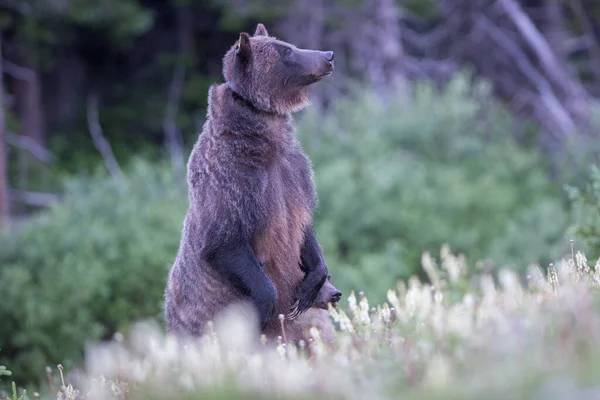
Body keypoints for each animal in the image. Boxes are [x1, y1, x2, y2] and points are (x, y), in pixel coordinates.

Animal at [164, 23, 342, 346]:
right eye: (286, 51)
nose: (328, 55)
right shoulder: (234, 184)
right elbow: (224, 240)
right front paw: (265, 306)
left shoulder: (293, 176)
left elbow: (304, 228)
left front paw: (310, 283)